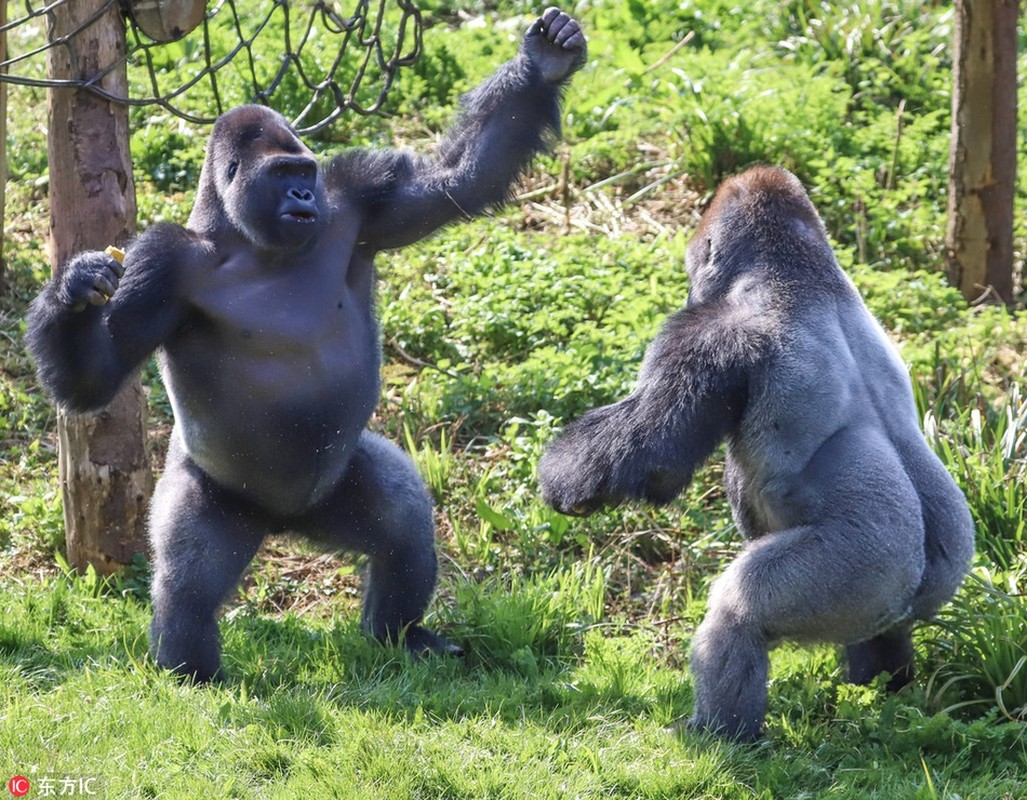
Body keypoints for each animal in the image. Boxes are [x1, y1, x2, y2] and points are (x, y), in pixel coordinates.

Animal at [28, 7, 587, 681]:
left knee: (401, 526)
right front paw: (75, 289)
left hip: (334, 489)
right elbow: (96, 379)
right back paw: (192, 673)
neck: (246, 239)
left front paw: (543, 65)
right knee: (188, 584)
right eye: (280, 175)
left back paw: (400, 634)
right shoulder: (161, 263)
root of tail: (284, 524)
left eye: (305, 174)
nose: (300, 197)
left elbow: (459, 179)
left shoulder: (357, 194)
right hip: (217, 497)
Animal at [542, 165, 973, 743]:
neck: (802, 272)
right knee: (883, 634)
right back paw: (883, 690)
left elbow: (654, 460)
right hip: (927, 576)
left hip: (863, 570)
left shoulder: (705, 334)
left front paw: (563, 481)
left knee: (738, 610)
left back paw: (719, 732)